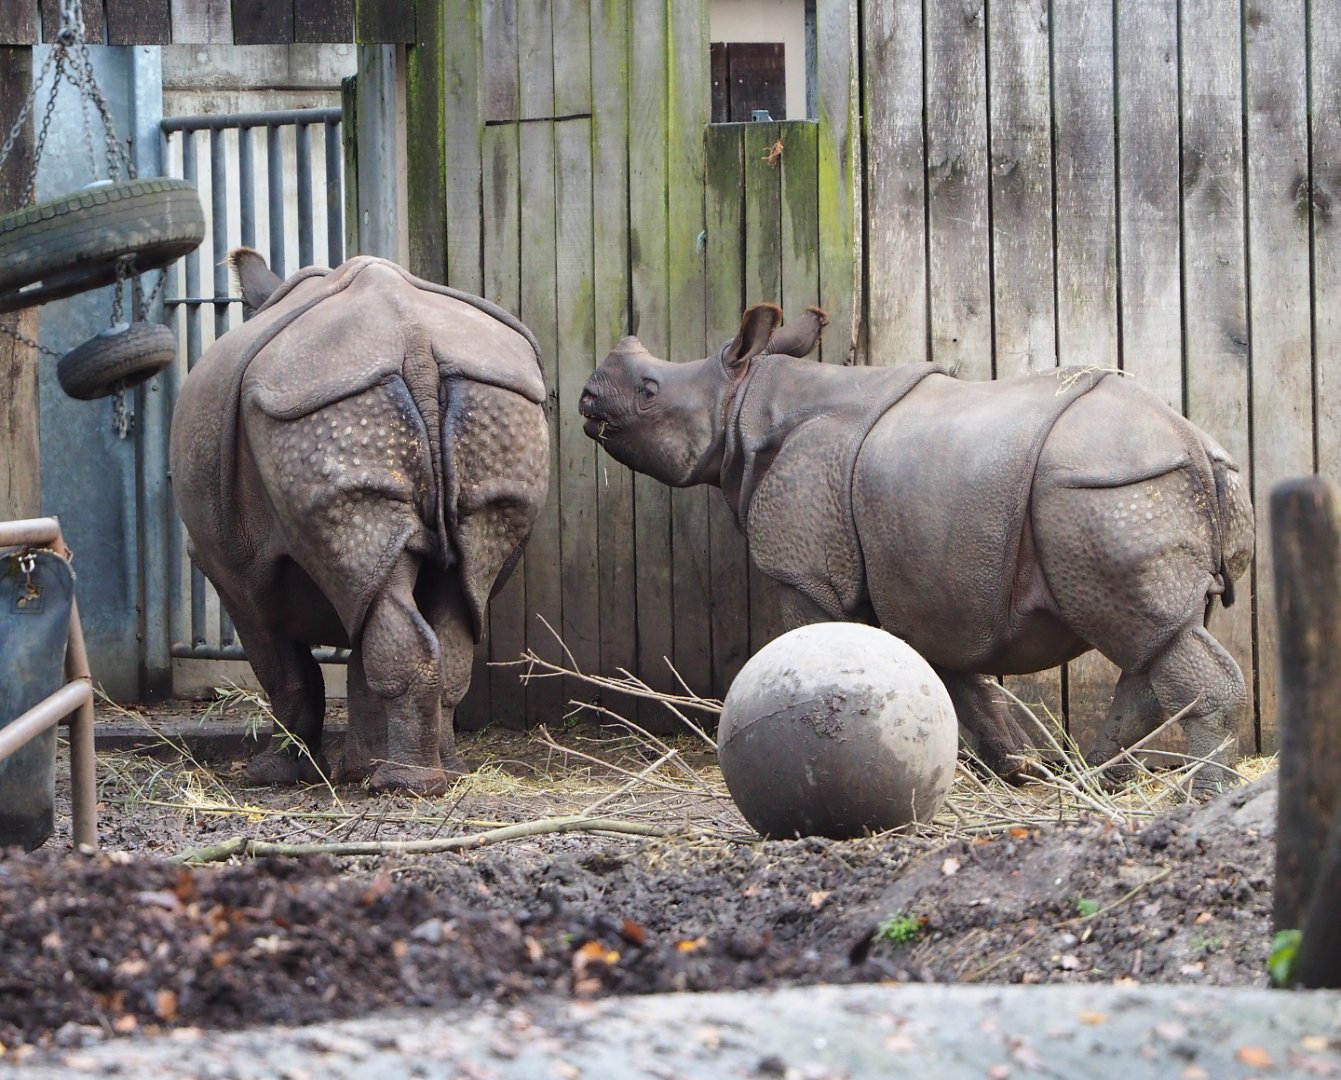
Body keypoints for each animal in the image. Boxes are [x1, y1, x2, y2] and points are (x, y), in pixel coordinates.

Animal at [170, 250, 549, 795]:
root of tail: (413, 341)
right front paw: (355, 769)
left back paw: (404, 785)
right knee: (460, 587)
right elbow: (357, 658)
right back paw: (439, 775)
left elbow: (285, 671)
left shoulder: (228, 571)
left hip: (321, 403)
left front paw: (277, 776)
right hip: (491, 398)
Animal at [579, 303, 1255, 787]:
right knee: (1155, 639)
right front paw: (1017, 769)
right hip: (1136, 488)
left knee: (1147, 634)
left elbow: (811, 645)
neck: (742, 405)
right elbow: (961, 682)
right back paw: (1097, 775)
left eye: (649, 391)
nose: (586, 396)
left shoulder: (804, 571)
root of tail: (1194, 445)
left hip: (1110, 490)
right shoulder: (925, 583)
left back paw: (1200, 792)